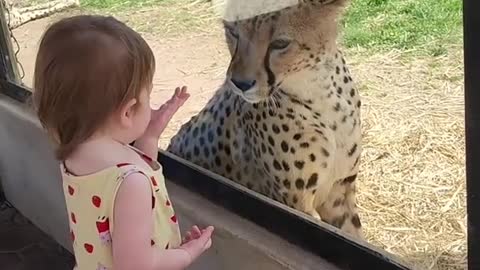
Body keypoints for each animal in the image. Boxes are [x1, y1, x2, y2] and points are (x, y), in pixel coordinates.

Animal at [167, 0, 362, 237]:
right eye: (233, 32)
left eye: (280, 43)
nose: (240, 83)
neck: (318, 92)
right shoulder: (295, 204)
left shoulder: (340, 190)